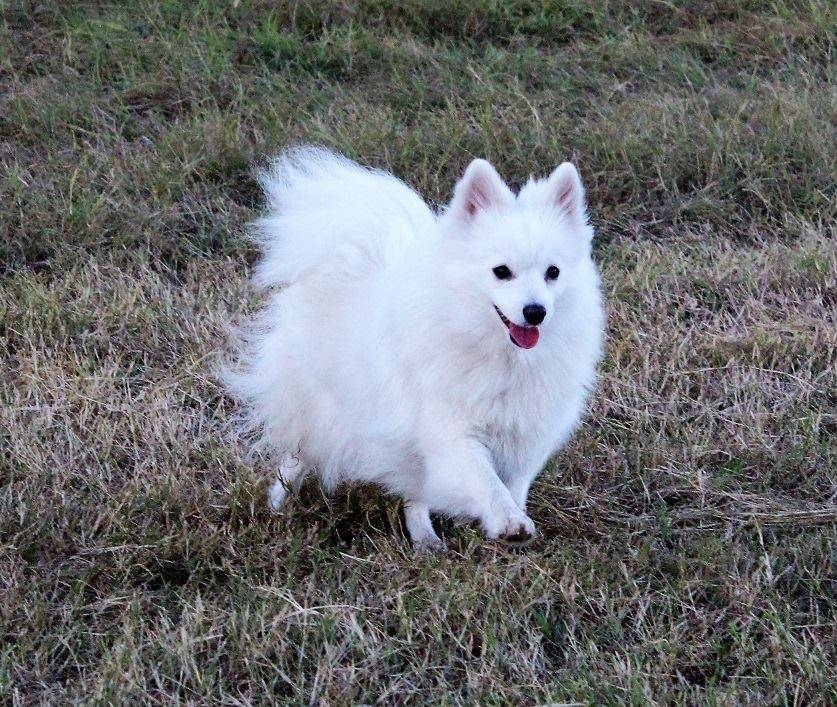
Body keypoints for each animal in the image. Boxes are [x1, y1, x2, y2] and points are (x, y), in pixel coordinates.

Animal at [224, 147, 604, 550]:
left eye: (553, 272)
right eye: (501, 271)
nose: (535, 312)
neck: (501, 354)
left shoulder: (528, 432)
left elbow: (513, 484)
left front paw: (512, 518)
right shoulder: (452, 428)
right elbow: (484, 479)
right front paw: (507, 521)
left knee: (414, 489)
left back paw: (424, 539)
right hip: (319, 407)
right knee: (296, 456)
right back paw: (277, 503)